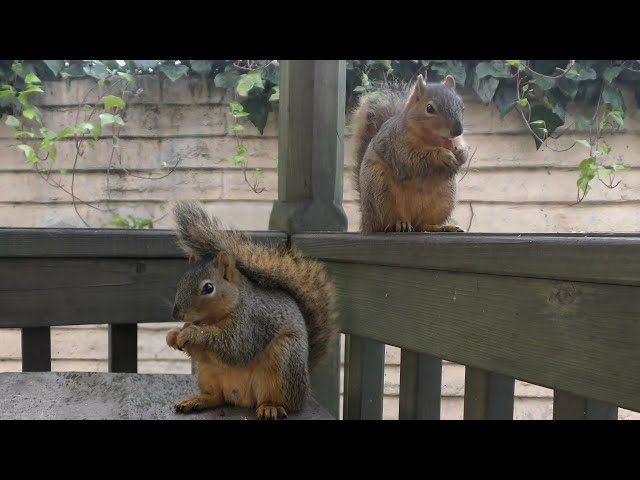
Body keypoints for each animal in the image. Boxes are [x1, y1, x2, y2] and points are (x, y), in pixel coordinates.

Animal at [164, 201, 340, 418]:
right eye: (181, 281)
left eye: (208, 287)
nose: (176, 314)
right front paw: (172, 335)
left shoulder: (253, 322)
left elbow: (235, 346)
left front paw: (193, 333)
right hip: (207, 372)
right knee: (217, 397)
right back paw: (197, 400)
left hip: (282, 362)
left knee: (280, 400)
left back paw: (271, 407)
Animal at [350, 71, 470, 234]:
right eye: (429, 108)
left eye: (462, 106)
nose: (458, 130)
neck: (433, 140)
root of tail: (365, 220)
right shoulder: (397, 146)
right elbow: (410, 159)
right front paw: (441, 155)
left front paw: (462, 154)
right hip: (379, 189)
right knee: (384, 223)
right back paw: (399, 224)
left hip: (445, 197)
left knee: (422, 225)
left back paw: (441, 227)